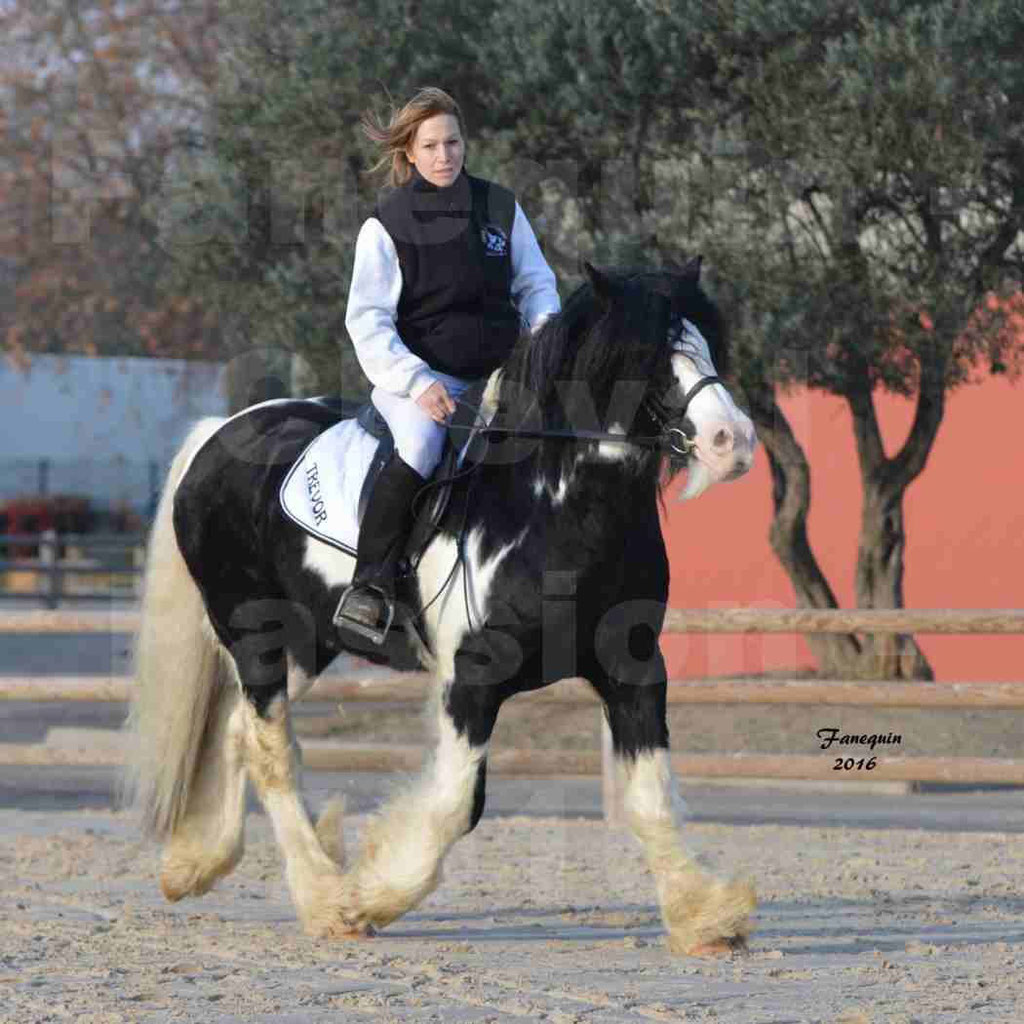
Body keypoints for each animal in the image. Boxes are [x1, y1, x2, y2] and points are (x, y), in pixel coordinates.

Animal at [121, 260, 761, 954]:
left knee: (242, 733)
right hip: (254, 634)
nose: (733, 441)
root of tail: (218, 434)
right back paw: (324, 897)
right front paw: (367, 897)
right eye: (643, 355)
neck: (556, 511)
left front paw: (704, 916)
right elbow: (459, 805)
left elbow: (651, 795)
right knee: (268, 751)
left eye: (707, 342)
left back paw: (204, 866)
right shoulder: (472, 680)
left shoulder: (634, 669)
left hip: (306, 644)